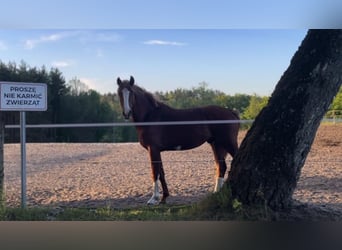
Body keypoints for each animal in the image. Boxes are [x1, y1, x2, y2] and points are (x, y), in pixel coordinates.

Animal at [117, 76, 240, 205]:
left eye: (131, 92)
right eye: (119, 93)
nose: (126, 113)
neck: (149, 116)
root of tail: (231, 112)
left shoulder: (153, 149)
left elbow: (155, 172)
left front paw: (153, 198)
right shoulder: (157, 151)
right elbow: (161, 173)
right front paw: (164, 197)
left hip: (228, 143)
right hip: (217, 145)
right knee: (221, 167)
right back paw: (216, 193)